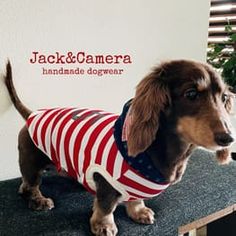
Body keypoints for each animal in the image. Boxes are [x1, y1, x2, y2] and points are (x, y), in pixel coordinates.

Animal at [3, 60, 236, 235]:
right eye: (191, 94)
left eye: (224, 97)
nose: (228, 138)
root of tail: (32, 114)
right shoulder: (106, 182)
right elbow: (106, 206)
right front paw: (103, 225)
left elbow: (136, 198)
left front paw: (139, 211)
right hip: (31, 162)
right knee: (30, 186)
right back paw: (39, 200)